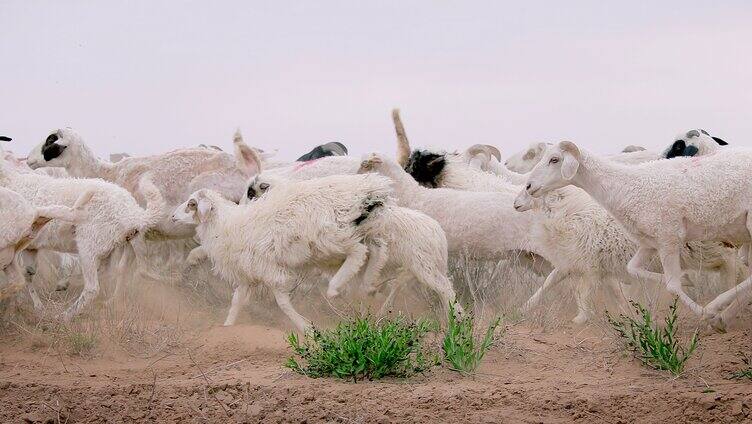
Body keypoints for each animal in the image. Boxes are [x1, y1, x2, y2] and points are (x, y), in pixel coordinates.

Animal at [0, 151, 165, 320]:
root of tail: (132, 212)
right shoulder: (30, 247)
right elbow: (28, 274)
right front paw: (35, 306)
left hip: (89, 246)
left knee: (92, 288)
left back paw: (65, 316)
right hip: (109, 248)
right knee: (109, 274)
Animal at [524, 141, 752, 330]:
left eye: (555, 159)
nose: (528, 186)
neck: (628, 186)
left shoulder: (668, 238)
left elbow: (672, 286)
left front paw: (706, 314)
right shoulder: (649, 244)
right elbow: (632, 269)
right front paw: (687, 280)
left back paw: (717, 309)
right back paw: (724, 312)